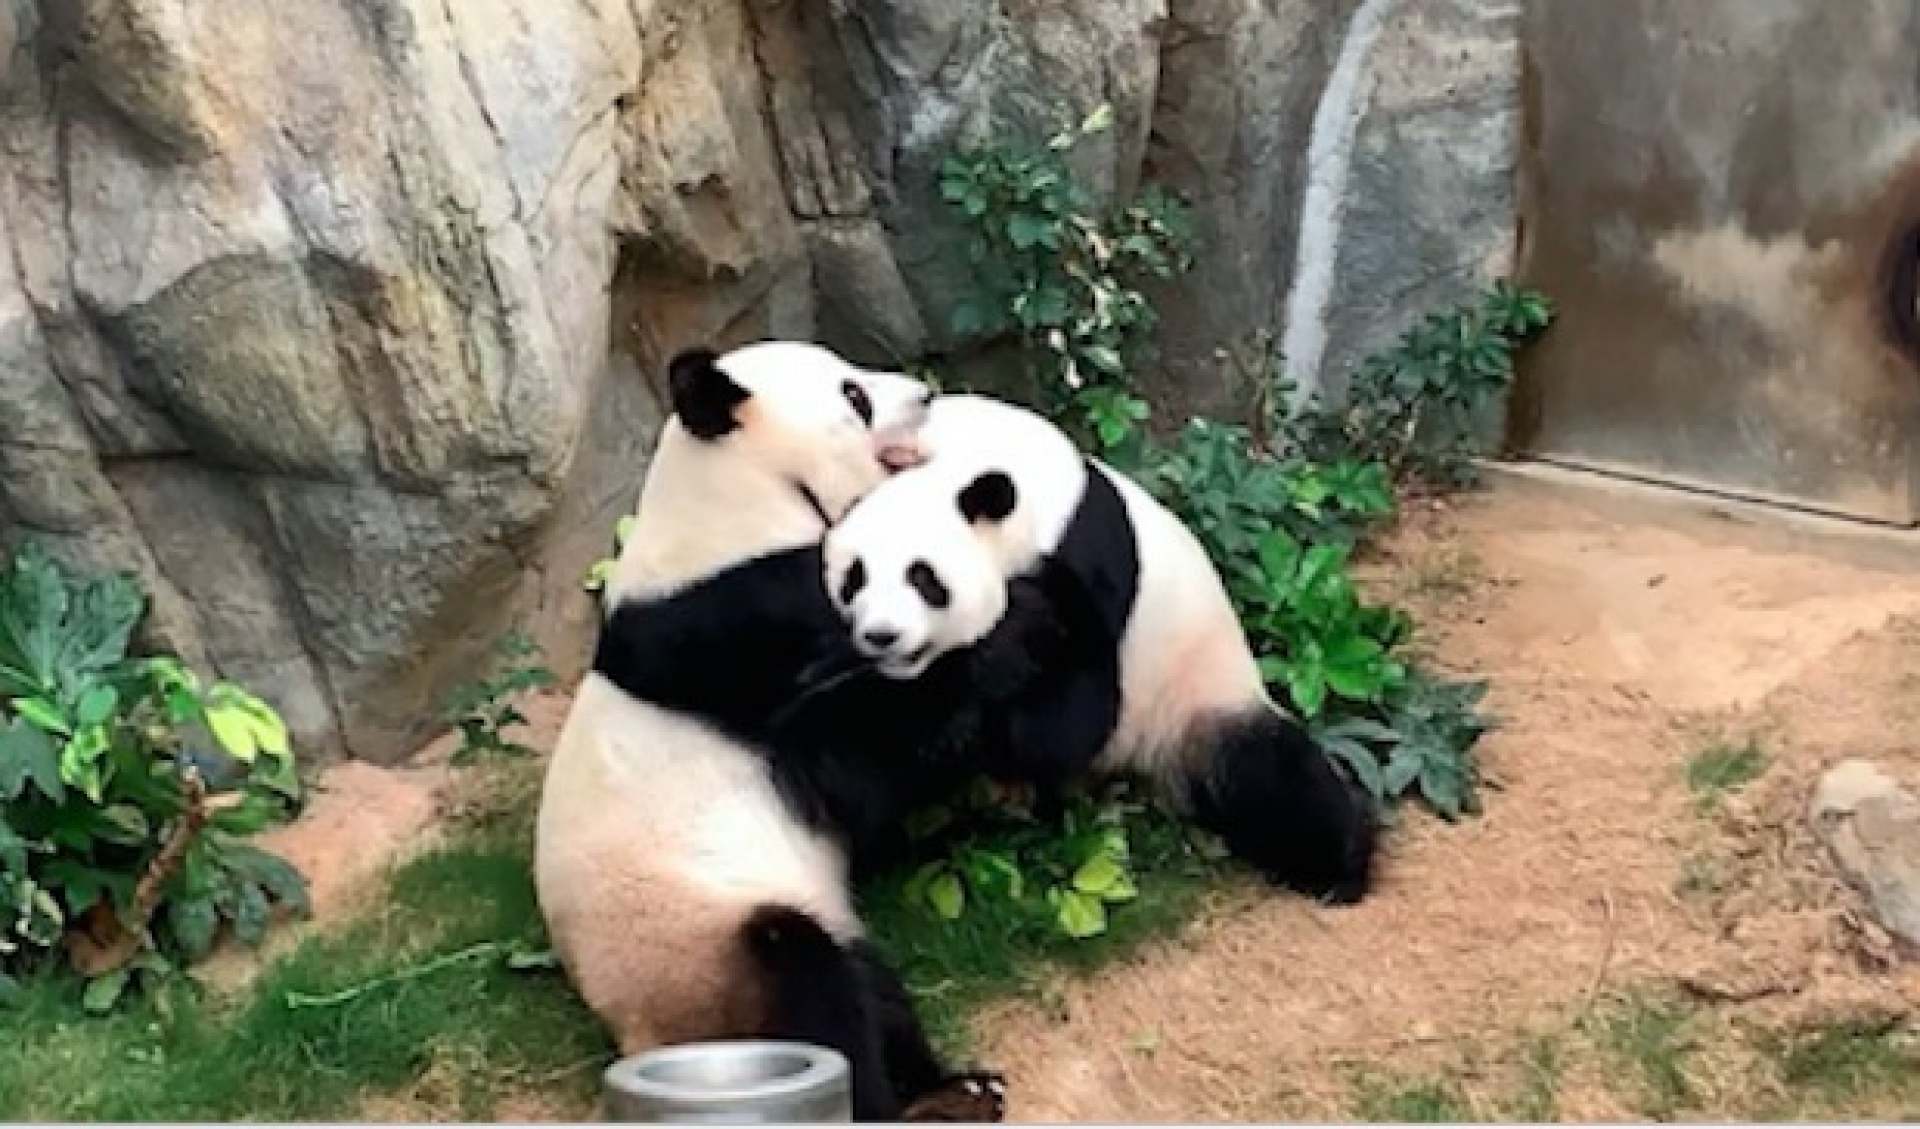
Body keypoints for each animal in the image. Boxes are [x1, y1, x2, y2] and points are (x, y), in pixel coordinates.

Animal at [534, 342, 1007, 1123]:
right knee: (808, 985)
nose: (926, 395)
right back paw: (883, 1103)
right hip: (702, 946)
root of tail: (637, 1036)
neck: (738, 499)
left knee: (871, 984)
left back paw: (953, 1088)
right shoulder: (742, 628)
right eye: (854, 396)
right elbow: (850, 764)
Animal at [819, 392, 1380, 904]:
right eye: (854, 578)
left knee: (1270, 776)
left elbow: (1069, 722)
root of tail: (1137, 769)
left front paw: (1000, 660)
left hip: (1195, 697)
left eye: (923, 579)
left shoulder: (1086, 558)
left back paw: (1340, 869)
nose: (882, 636)